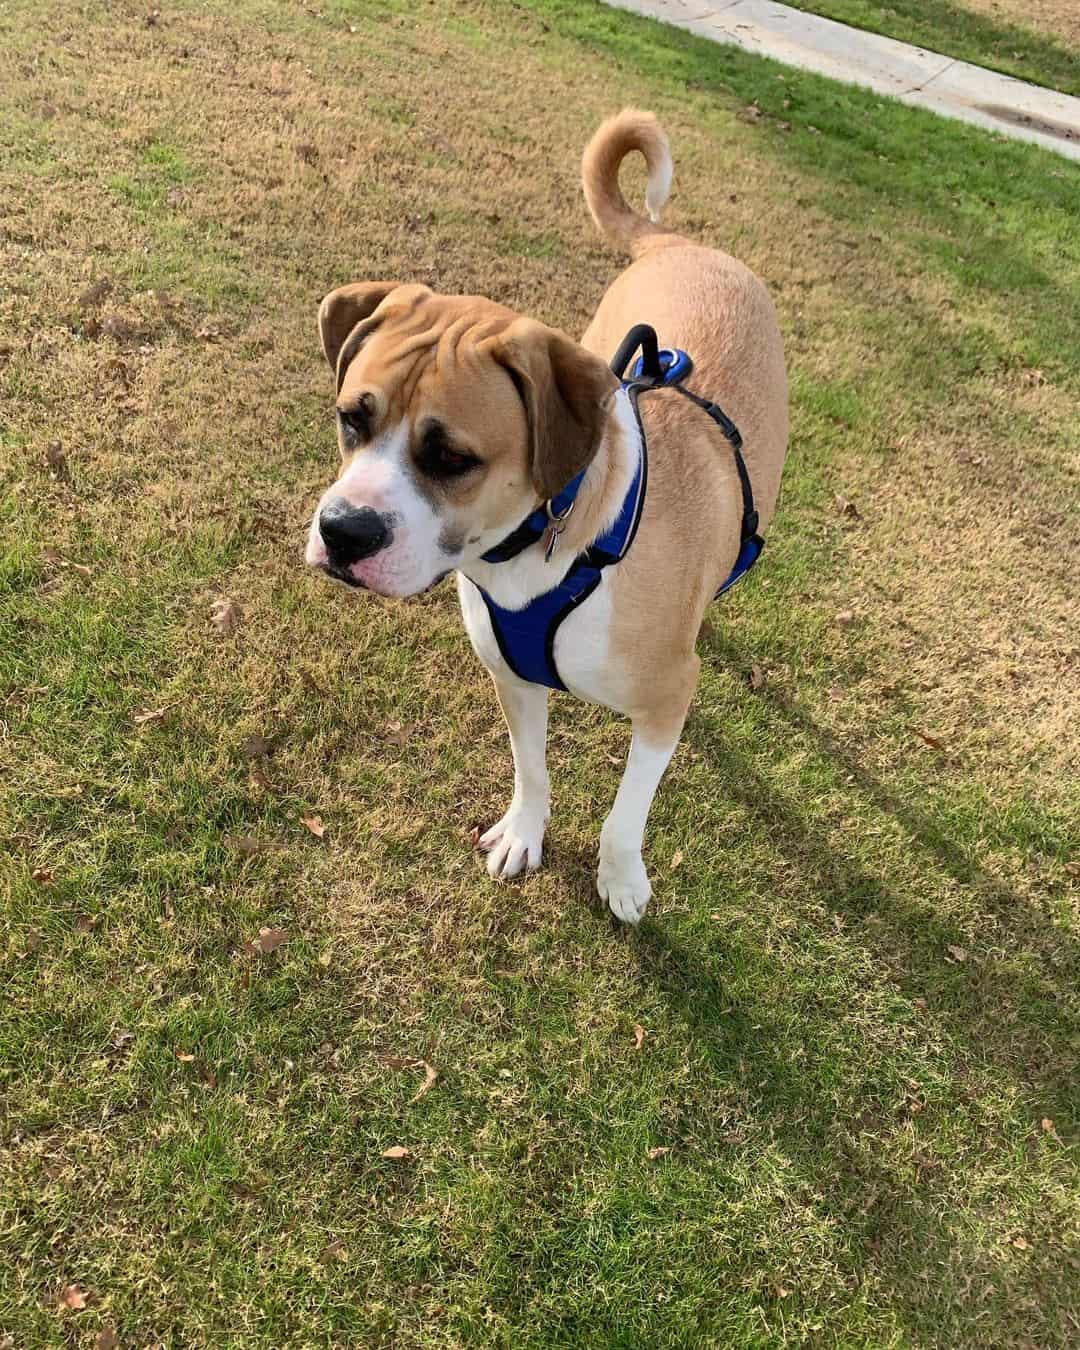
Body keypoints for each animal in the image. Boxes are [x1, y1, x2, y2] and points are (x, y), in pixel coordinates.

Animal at [303, 110, 783, 923]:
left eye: (451, 457)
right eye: (351, 418)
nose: (341, 533)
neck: (542, 551)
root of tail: (684, 244)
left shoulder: (667, 700)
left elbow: (625, 814)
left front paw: (621, 879)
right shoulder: (512, 675)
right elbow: (531, 768)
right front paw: (526, 834)